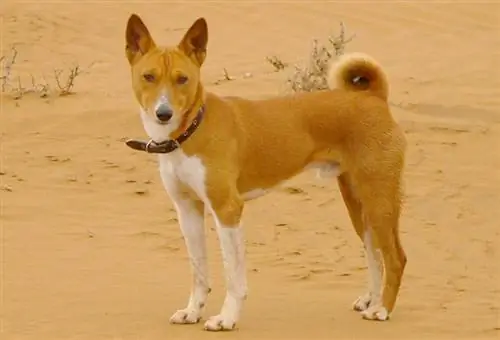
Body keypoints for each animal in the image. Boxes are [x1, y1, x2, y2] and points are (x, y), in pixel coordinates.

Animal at [124, 13, 406, 332]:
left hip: (379, 199)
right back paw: (371, 299)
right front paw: (192, 311)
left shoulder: (227, 209)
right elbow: (199, 270)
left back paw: (382, 309)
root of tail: (373, 97)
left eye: (182, 79)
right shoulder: (187, 209)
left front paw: (226, 318)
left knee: (396, 258)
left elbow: (234, 276)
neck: (190, 130)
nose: (163, 113)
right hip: (358, 203)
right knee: (375, 254)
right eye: (149, 77)